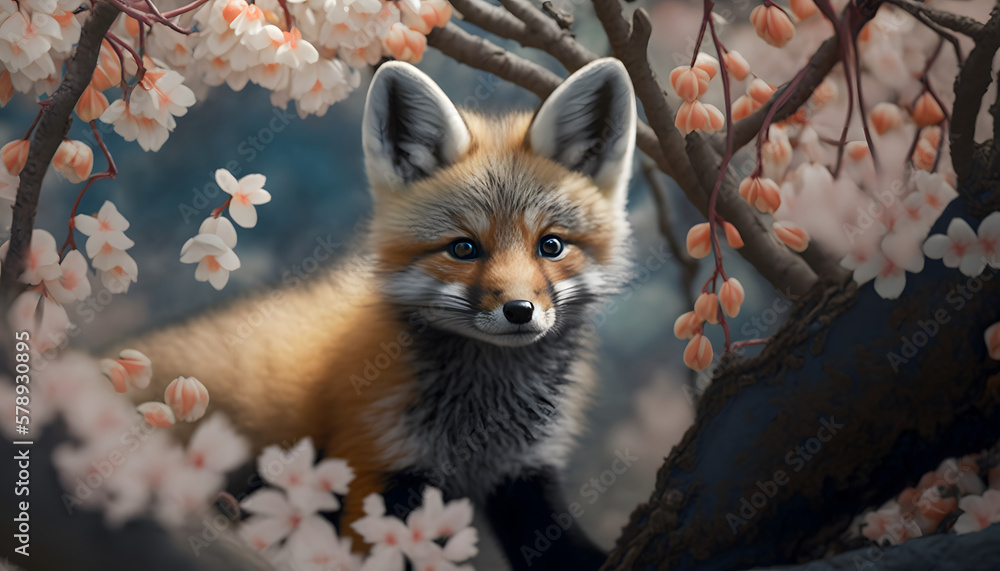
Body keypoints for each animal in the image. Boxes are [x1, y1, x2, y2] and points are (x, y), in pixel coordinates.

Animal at [119, 57, 638, 570]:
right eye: (463, 248)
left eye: (551, 246)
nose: (519, 310)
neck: (479, 424)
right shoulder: (378, 470)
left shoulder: (523, 475)